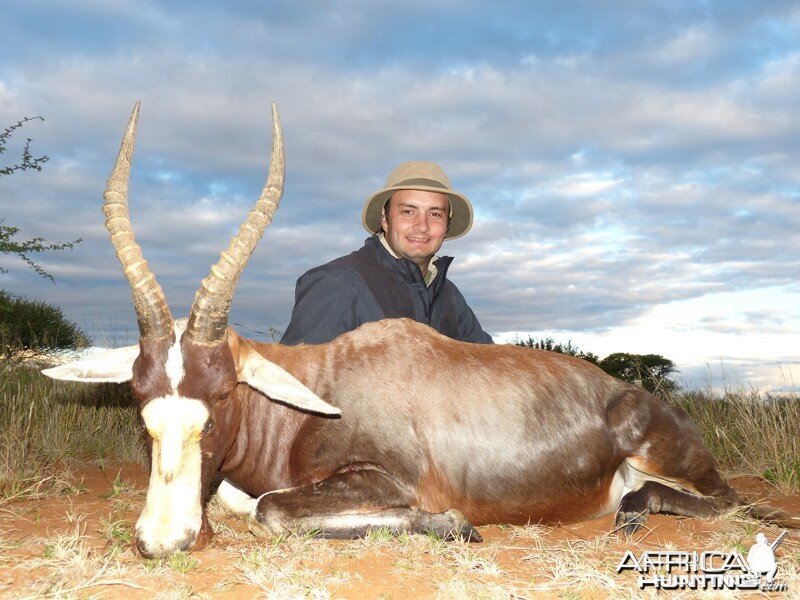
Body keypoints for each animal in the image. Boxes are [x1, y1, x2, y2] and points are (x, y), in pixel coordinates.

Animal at [45, 102, 792, 556]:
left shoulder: (385, 480)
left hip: (672, 460)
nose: (161, 539)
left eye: (222, 392)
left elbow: (271, 511)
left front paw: (453, 524)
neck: (311, 399)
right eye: (140, 394)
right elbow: (242, 502)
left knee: (724, 500)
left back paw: (635, 510)